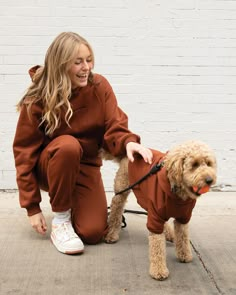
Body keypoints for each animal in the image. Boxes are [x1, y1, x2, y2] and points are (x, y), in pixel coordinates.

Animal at [104, 141, 217, 282]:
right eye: (194, 164)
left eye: (208, 163)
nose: (209, 180)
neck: (178, 194)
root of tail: (128, 152)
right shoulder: (156, 216)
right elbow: (157, 246)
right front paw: (158, 271)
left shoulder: (183, 217)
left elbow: (183, 237)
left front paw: (184, 255)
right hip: (122, 190)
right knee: (116, 209)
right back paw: (112, 234)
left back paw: (169, 234)